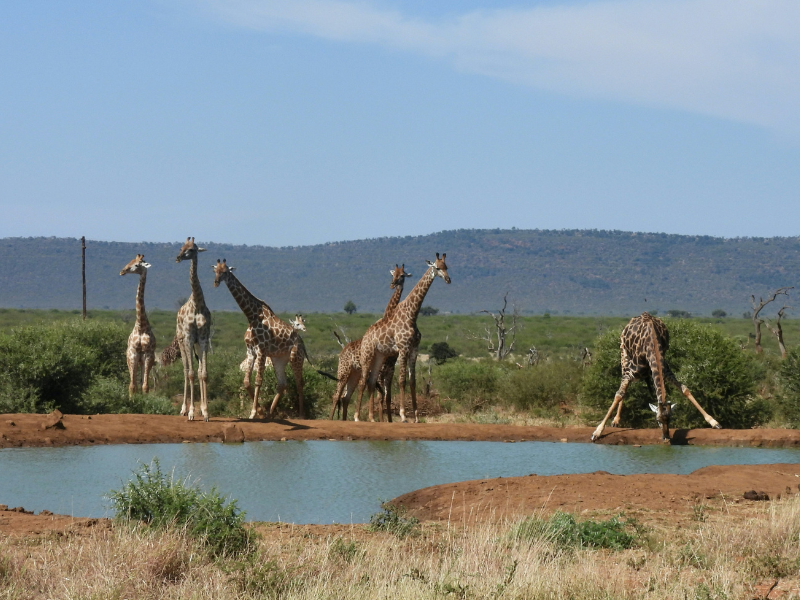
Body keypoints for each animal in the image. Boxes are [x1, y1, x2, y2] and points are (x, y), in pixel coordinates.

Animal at [119, 254, 156, 396]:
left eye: (136, 265)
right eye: (129, 261)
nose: (122, 271)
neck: (141, 326)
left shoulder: (148, 355)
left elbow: (145, 387)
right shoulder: (132, 354)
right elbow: (132, 386)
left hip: (145, 360)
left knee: (142, 383)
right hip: (132, 359)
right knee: (134, 384)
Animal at [212, 259, 308, 419]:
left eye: (225, 271)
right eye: (215, 270)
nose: (216, 282)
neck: (252, 316)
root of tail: (302, 342)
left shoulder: (261, 350)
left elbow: (258, 381)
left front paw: (253, 413)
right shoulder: (251, 351)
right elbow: (246, 382)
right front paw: (260, 410)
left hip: (296, 357)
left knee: (299, 383)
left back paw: (301, 415)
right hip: (279, 358)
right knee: (282, 383)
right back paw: (270, 413)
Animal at [330, 264, 412, 422]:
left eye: (402, 275)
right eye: (393, 274)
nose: (392, 284)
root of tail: (342, 351)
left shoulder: (388, 370)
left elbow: (386, 396)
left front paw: (387, 421)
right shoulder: (380, 371)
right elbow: (378, 396)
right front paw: (377, 419)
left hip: (355, 373)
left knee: (345, 397)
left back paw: (344, 419)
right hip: (344, 371)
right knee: (336, 395)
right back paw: (331, 420)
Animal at [355, 253, 451, 423]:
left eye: (446, 267)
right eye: (437, 267)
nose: (448, 279)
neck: (412, 314)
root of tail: (365, 335)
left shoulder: (414, 350)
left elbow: (412, 381)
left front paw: (417, 417)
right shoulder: (403, 349)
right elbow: (402, 381)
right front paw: (403, 415)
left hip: (379, 356)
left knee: (371, 382)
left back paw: (372, 418)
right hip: (367, 355)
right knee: (362, 382)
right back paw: (357, 417)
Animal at [591, 312, 722, 442]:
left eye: (670, 419)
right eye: (658, 420)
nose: (666, 438)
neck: (651, 345)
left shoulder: (666, 371)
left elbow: (684, 389)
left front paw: (714, 422)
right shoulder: (631, 372)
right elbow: (619, 394)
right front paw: (597, 432)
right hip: (624, 353)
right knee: (623, 386)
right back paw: (616, 420)